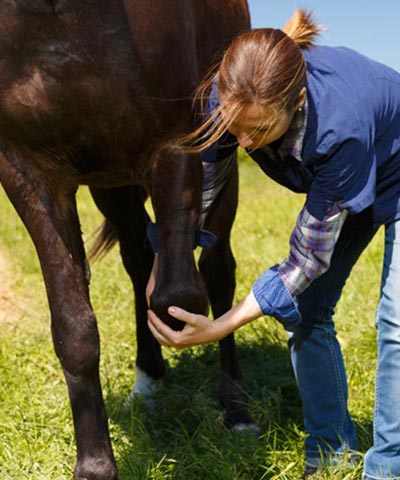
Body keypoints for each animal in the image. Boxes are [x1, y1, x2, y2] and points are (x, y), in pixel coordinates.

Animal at [0, 1, 252, 478]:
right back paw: (147, 381)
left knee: (217, 275)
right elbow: (74, 326)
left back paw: (236, 410)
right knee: (139, 258)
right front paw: (95, 464)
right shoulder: (29, 171)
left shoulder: (176, 143)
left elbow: (178, 297)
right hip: (111, 183)